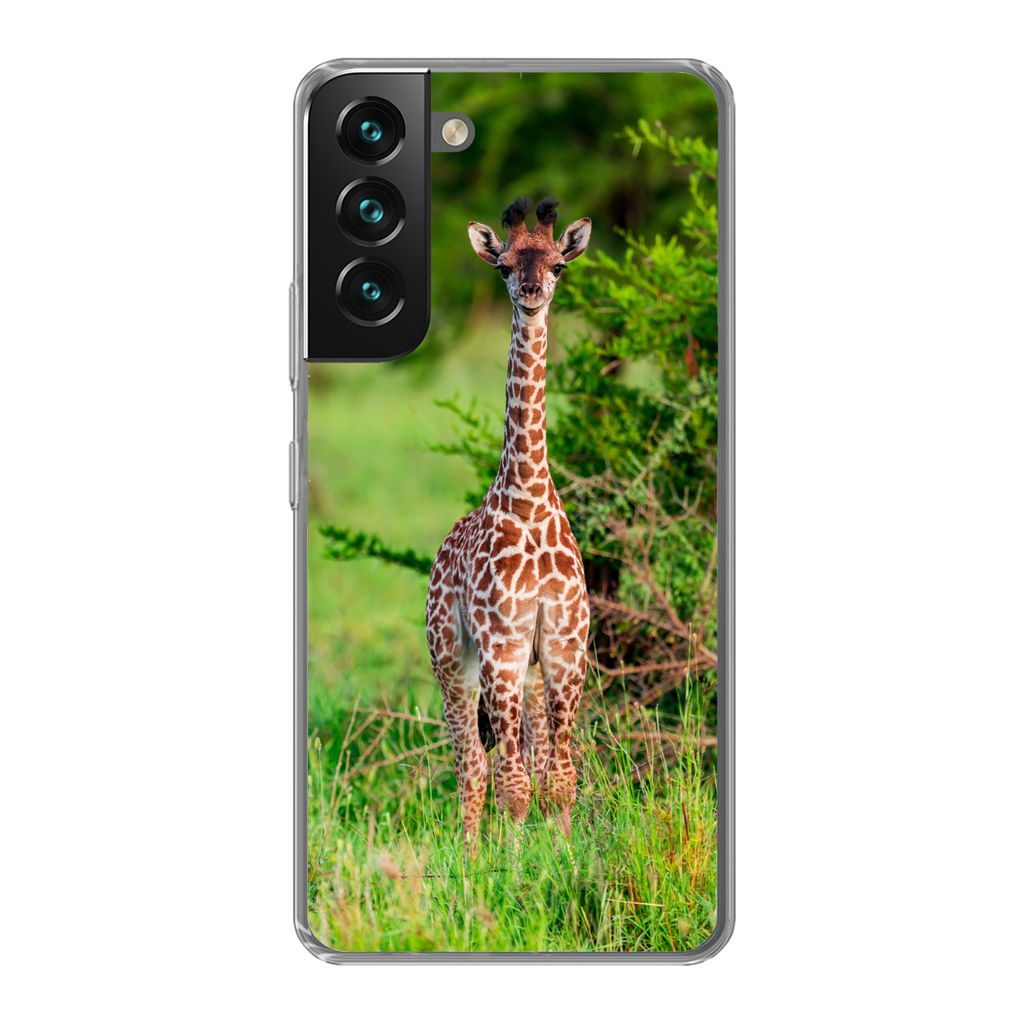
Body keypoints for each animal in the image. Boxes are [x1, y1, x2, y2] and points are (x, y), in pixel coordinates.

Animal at [426, 196, 592, 850]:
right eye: (503, 265)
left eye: (558, 264)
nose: (530, 291)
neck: (528, 497)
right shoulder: (500, 644)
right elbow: (514, 787)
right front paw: (515, 867)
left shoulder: (565, 646)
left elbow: (558, 779)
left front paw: (567, 858)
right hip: (453, 659)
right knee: (473, 766)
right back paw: (472, 860)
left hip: (529, 671)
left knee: (527, 758)